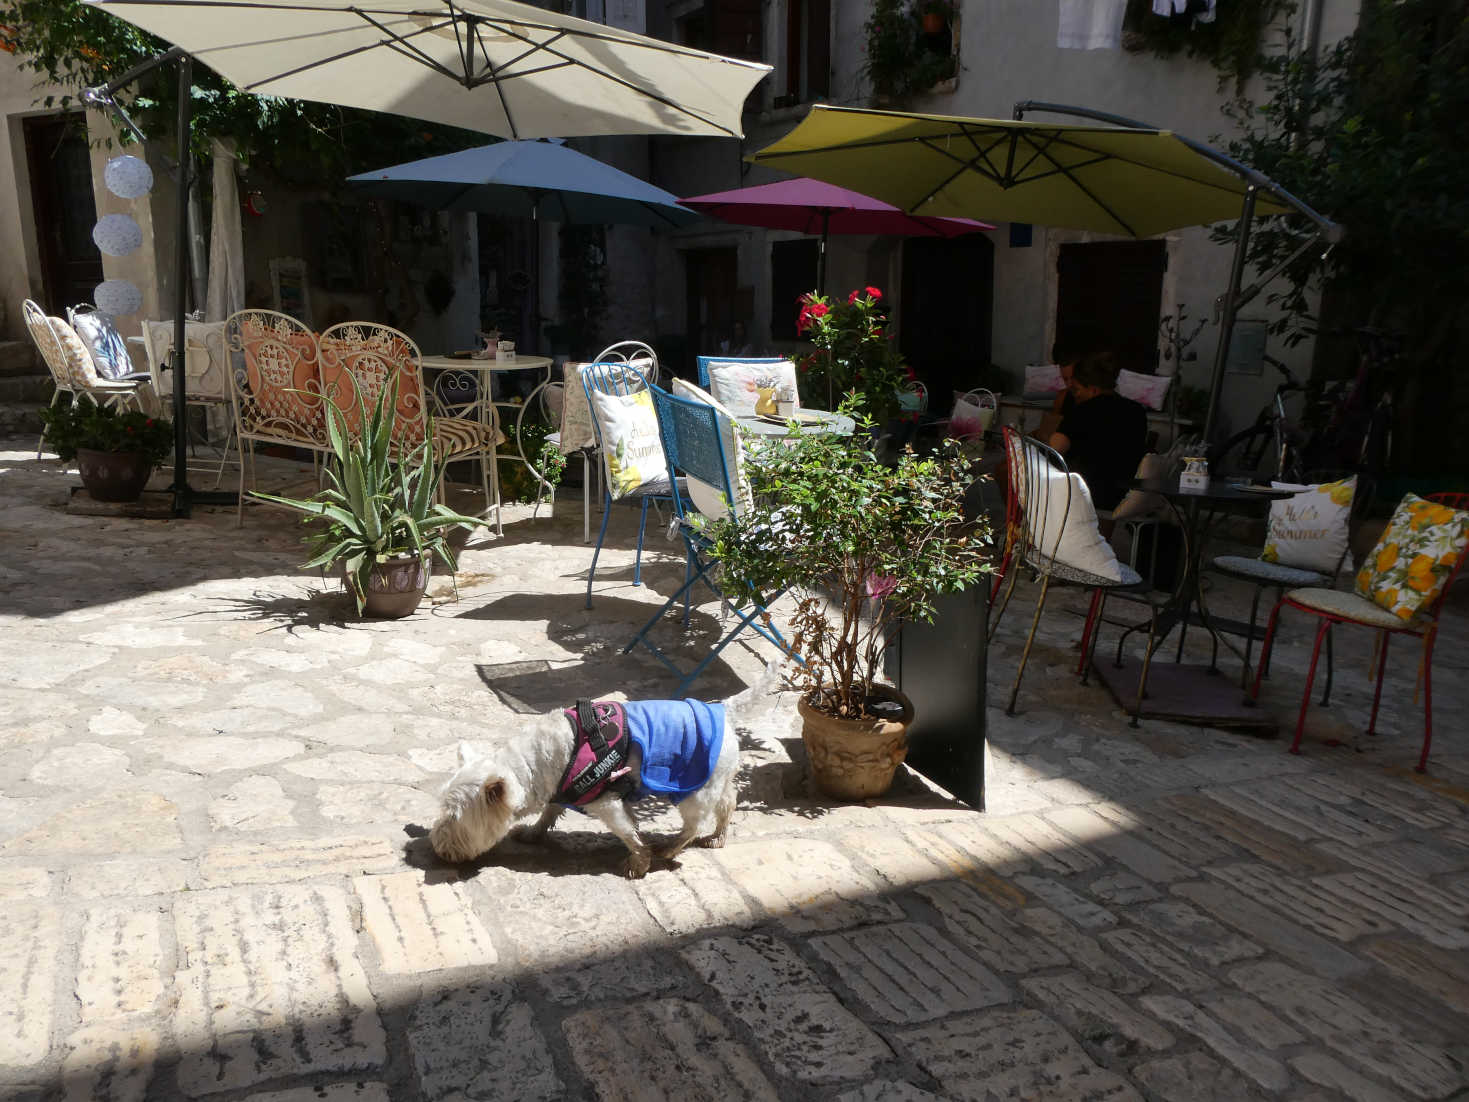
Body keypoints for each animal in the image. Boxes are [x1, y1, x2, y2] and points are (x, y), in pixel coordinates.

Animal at [428, 664, 775, 881]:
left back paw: (669, 847)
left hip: (692, 789)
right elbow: (550, 811)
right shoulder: (559, 789)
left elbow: (627, 832)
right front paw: (534, 832)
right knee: (728, 802)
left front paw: (638, 862)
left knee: (694, 823)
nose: (438, 850)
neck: (535, 764)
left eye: (454, 819)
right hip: (717, 775)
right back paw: (717, 837)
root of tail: (724, 710)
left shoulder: (606, 801)